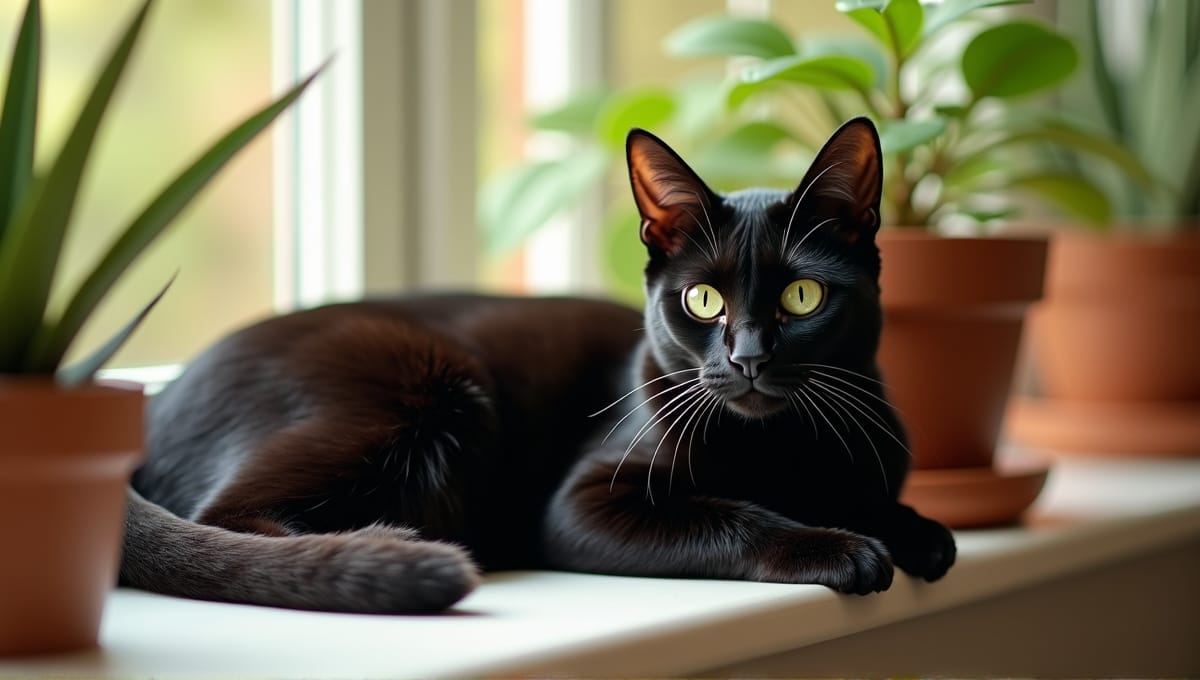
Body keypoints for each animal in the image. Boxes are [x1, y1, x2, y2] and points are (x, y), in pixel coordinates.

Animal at [121, 119, 955, 614]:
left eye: (802, 295)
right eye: (704, 299)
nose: (747, 356)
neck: (780, 447)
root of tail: (151, 401)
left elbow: (876, 500)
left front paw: (918, 532)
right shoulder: (584, 502)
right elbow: (731, 517)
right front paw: (842, 546)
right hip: (420, 387)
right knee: (227, 518)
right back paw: (395, 546)